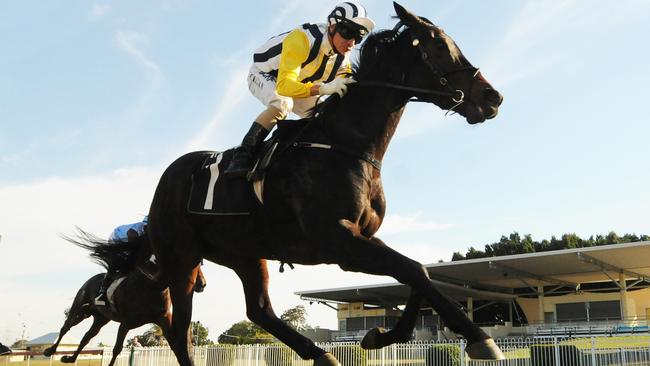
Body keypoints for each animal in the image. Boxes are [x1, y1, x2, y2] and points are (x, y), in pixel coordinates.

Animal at [146, 3, 502, 366]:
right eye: (441, 46)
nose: (493, 97)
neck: (345, 145)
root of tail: (168, 176)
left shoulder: (361, 236)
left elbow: (418, 273)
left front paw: (381, 335)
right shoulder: (338, 241)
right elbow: (413, 269)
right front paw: (480, 337)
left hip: (244, 253)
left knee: (258, 310)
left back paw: (320, 353)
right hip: (182, 257)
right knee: (181, 331)